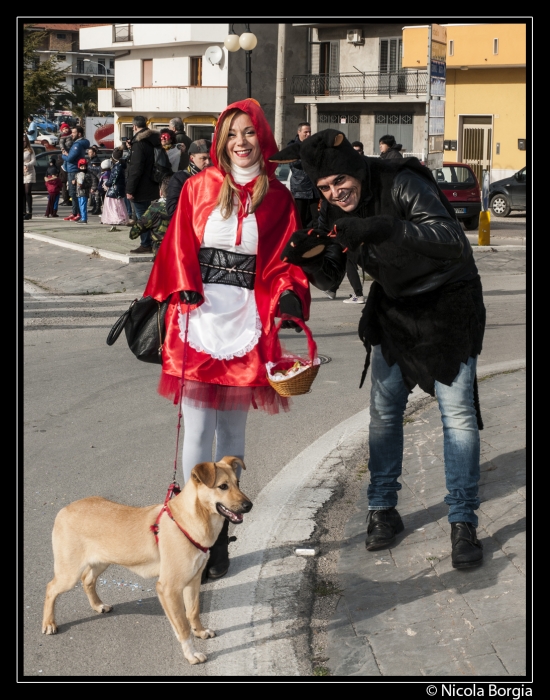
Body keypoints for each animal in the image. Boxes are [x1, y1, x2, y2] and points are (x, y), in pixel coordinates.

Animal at [42, 456, 253, 664]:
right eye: (223, 486)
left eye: (238, 483)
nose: (249, 506)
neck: (188, 522)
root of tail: (65, 509)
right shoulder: (168, 589)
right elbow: (182, 625)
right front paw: (191, 654)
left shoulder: (192, 582)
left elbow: (193, 612)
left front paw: (200, 631)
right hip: (69, 573)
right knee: (51, 588)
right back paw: (49, 623)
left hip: (101, 561)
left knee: (87, 580)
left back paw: (98, 605)